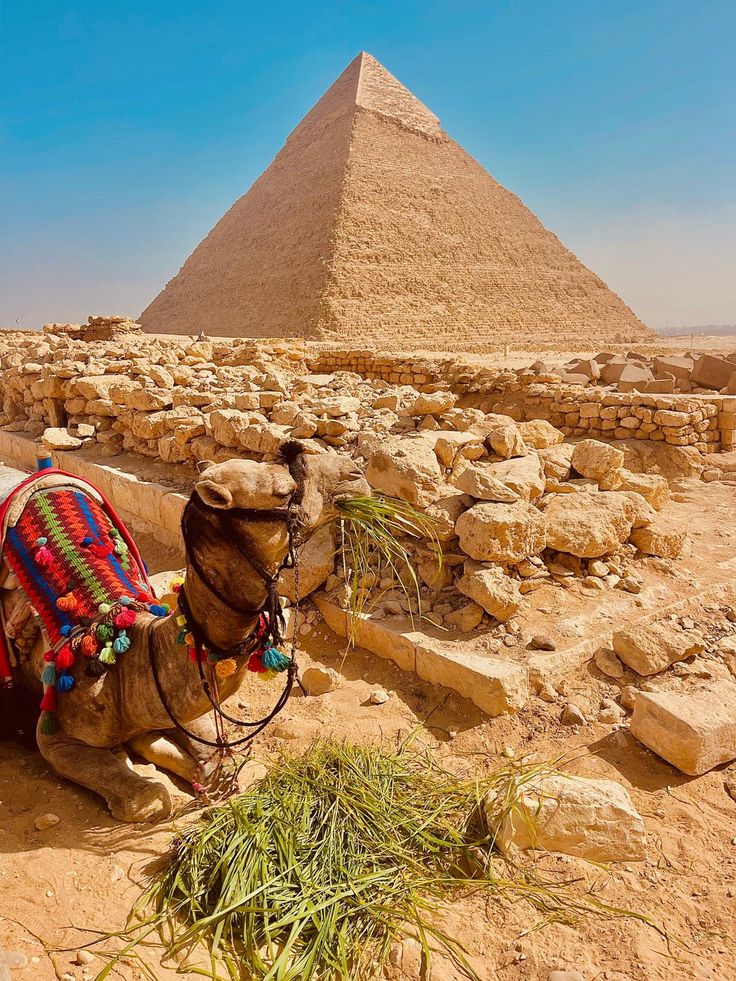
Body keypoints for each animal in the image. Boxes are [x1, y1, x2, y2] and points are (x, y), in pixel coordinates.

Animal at [5, 446, 369, 821]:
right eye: (284, 491)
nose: (355, 474)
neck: (122, 655)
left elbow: (203, 744)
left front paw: (218, 772)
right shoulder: (57, 730)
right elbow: (144, 797)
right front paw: (144, 778)